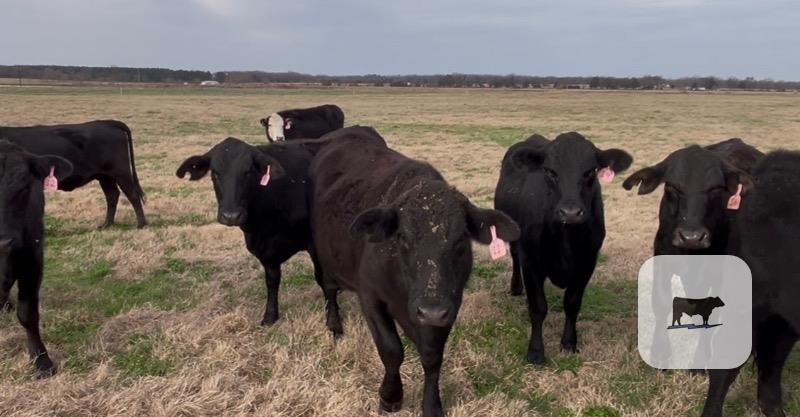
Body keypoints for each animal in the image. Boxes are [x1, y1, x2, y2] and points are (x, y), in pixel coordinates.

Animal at [0, 120, 147, 228]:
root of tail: (106, 122)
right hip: (105, 176)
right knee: (112, 195)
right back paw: (106, 224)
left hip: (120, 172)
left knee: (132, 195)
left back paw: (140, 224)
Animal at [176, 135, 347, 333]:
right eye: (215, 172)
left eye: (248, 171)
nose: (231, 215)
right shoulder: (265, 250)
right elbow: (272, 281)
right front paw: (270, 316)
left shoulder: (315, 243)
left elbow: (324, 281)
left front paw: (333, 322)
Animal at [307, 128, 519, 417]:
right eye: (403, 238)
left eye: (460, 240)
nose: (429, 310)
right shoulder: (370, 296)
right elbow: (391, 350)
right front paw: (390, 396)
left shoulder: (449, 304)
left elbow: (432, 357)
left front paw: (431, 405)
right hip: (325, 258)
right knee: (329, 289)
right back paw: (335, 325)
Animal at [494, 132, 633, 364]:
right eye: (550, 171)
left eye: (590, 171)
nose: (570, 212)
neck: (566, 240)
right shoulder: (531, 262)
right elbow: (538, 307)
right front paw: (536, 351)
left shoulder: (587, 263)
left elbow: (572, 303)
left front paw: (569, 343)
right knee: (514, 257)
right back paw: (516, 287)